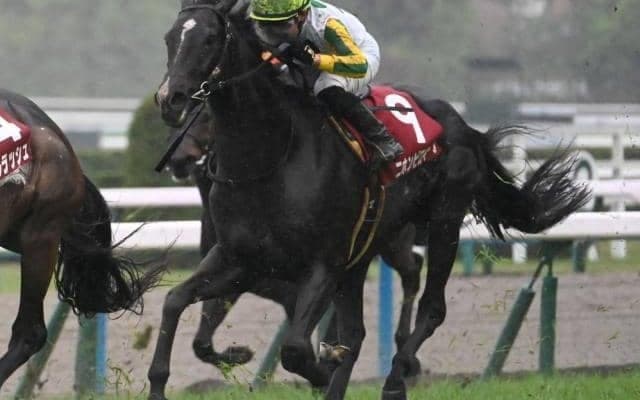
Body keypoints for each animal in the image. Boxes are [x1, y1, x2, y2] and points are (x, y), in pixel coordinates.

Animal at [165, 109, 425, 376]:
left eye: (206, 116)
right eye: (179, 120)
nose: (178, 159)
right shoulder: (235, 275)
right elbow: (202, 339)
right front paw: (240, 354)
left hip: (393, 244)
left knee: (412, 270)